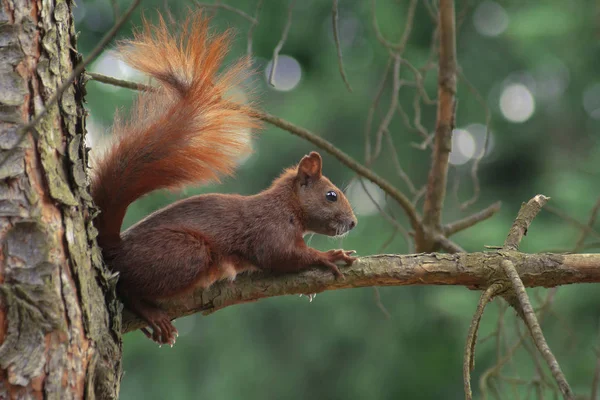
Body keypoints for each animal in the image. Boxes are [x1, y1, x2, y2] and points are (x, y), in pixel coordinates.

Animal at [91, 10, 358, 346]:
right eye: (331, 195)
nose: (353, 223)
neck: (286, 206)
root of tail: (116, 248)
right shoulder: (269, 230)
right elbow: (281, 255)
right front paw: (329, 255)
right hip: (186, 253)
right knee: (127, 287)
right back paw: (149, 311)